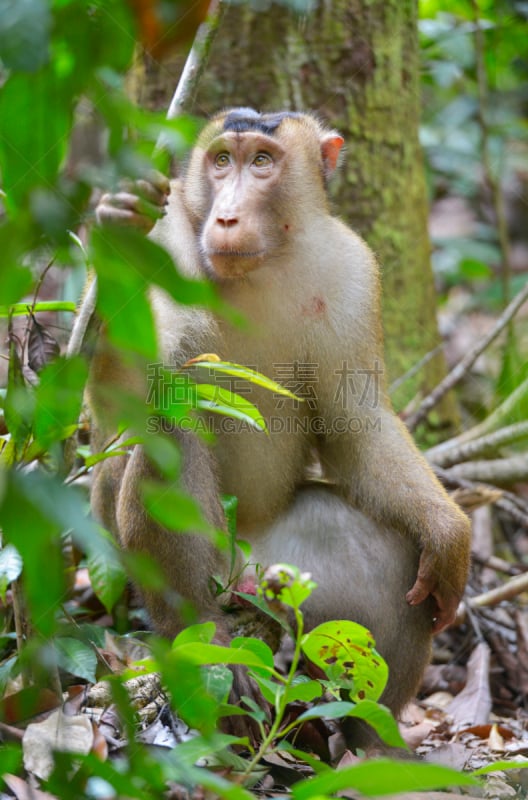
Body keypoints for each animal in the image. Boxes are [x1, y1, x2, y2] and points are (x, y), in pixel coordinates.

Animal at [88, 108, 472, 744]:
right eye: (222, 161)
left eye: (262, 162)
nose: (225, 216)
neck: (261, 270)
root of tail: (244, 574)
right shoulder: (172, 240)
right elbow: (137, 396)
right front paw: (117, 227)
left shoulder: (351, 270)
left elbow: (354, 422)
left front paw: (449, 531)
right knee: (173, 421)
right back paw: (204, 633)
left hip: (285, 569)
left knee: (388, 557)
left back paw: (372, 745)